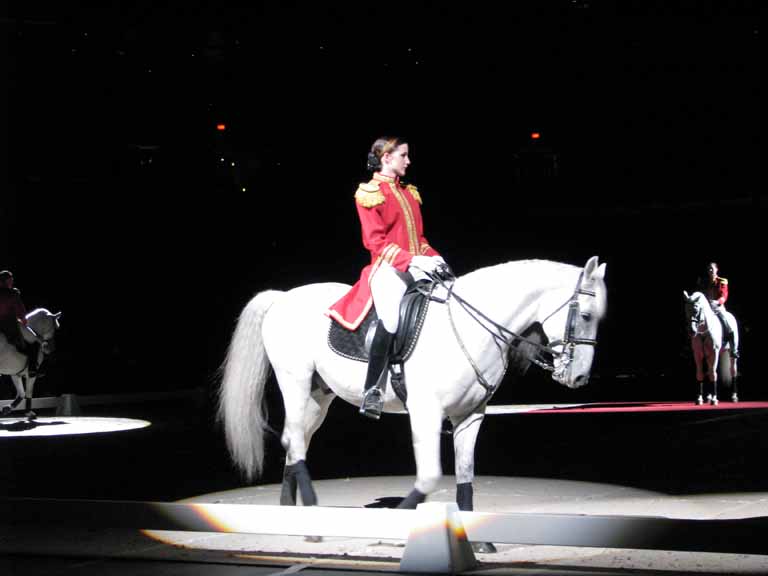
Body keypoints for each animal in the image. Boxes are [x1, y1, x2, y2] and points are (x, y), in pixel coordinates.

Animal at [218, 256, 608, 516]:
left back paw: (290, 509)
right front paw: (403, 515)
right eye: (587, 316)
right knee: (295, 438)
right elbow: (431, 475)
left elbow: (465, 475)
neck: (470, 326)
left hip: (319, 394)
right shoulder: (426, 411)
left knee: (294, 439)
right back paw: (311, 506)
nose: (578, 378)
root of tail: (281, 296)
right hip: (294, 381)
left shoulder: (471, 415)